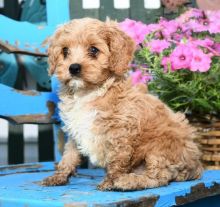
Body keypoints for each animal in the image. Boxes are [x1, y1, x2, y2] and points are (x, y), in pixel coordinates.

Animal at [42, 17, 204, 191]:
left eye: (93, 50)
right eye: (65, 51)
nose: (73, 68)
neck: (88, 93)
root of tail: (196, 165)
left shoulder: (120, 132)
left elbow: (117, 161)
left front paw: (110, 182)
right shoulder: (75, 130)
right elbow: (69, 156)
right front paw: (58, 176)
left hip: (160, 148)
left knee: (159, 178)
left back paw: (127, 181)